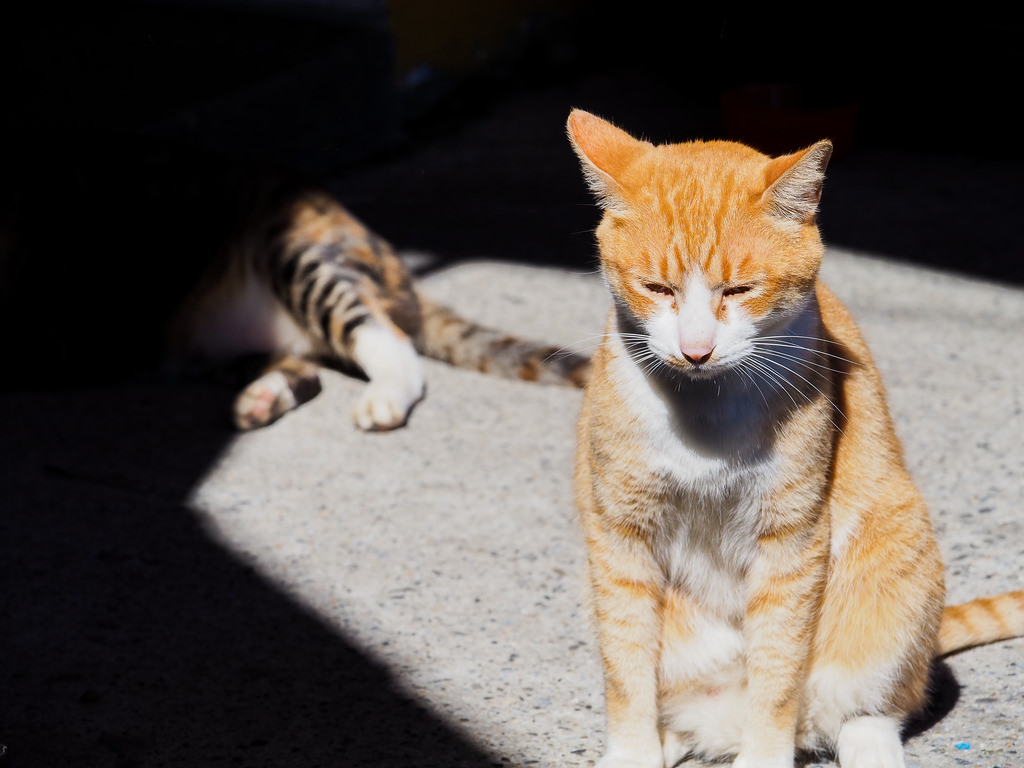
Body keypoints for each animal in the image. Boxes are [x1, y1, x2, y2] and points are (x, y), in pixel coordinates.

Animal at [569, 109, 1024, 768]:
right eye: (658, 289)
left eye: (739, 291)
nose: (696, 350)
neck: (706, 409)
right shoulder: (620, 536)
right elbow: (627, 668)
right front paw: (631, 753)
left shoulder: (791, 537)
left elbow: (778, 670)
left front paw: (764, 754)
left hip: (898, 554)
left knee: (869, 712)